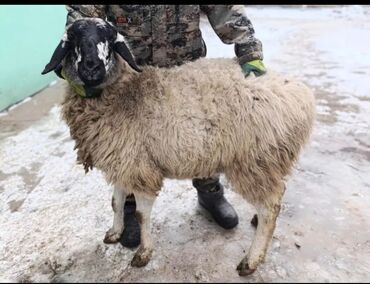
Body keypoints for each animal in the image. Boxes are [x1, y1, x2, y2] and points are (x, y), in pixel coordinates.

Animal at [42, 17, 316, 276]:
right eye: (73, 37)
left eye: (109, 38)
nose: (92, 67)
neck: (123, 93)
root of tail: (300, 95)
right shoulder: (123, 161)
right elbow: (117, 202)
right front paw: (115, 232)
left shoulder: (140, 168)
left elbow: (141, 214)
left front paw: (143, 253)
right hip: (267, 162)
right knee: (276, 195)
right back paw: (257, 223)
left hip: (254, 160)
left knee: (271, 206)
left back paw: (251, 260)